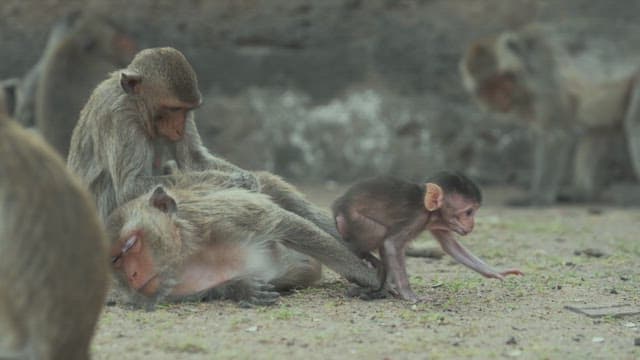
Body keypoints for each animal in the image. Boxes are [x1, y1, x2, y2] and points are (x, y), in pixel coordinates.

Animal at [68, 47, 382, 290]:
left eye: (186, 111)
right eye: (171, 109)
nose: (178, 127)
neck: (136, 105)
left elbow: (195, 159)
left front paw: (246, 179)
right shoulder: (119, 115)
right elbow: (130, 185)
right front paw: (240, 182)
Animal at [332, 172, 524, 300]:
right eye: (469, 212)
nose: (472, 224)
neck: (430, 211)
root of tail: (338, 207)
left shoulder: (442, 223)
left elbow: (451, 247)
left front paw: (497, 272)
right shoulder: (416, 218)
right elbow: (391, 243)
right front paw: (408, 294)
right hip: (353, 220)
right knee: (379, 233)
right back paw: (365, 257)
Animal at [460, 19, 640, 205]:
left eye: (503, 81)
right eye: (489, 88)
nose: (501, 99)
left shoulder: (547, 79)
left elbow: (555, 135)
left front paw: (538, 197)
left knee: (634, 123)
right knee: (597, 130)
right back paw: (582, 194)